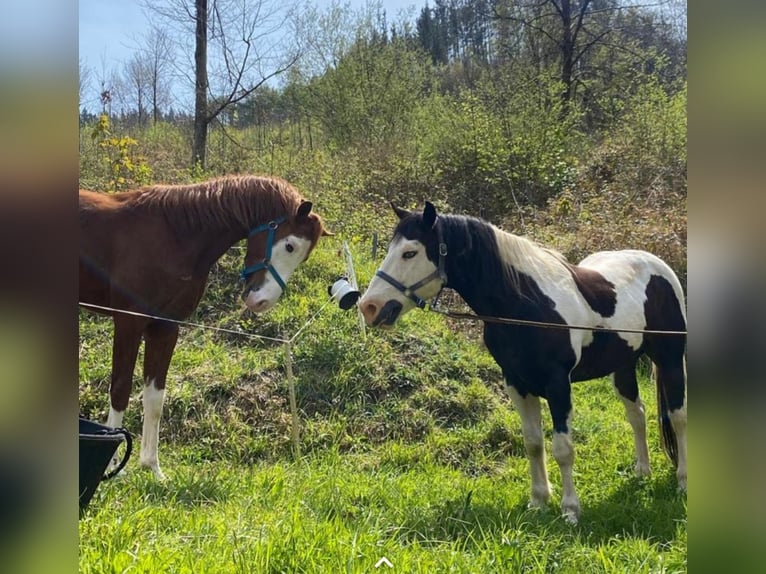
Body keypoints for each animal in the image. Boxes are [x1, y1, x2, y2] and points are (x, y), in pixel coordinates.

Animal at [79, 176, 332, 482]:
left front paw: (152, 467)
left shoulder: (165, 327)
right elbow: (120, 390)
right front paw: (114, 468)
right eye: (290, 246)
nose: (262, 301)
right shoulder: (129, 321)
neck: (174, 235)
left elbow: (155, 398)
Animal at [360, 204, 688, 528]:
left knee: (678, 416)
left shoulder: (558, 385)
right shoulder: (516, 383)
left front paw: (570, 510)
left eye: (410, 253)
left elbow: (563, 448)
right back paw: (642, 472)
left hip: (670, 360)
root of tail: (658, 267)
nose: (369, 307)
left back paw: (682, 482)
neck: (525, 306)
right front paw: (538, 502)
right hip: (623, 366)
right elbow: (533, 443)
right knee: (637, 415)